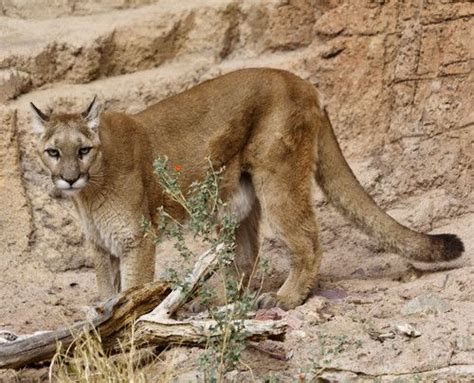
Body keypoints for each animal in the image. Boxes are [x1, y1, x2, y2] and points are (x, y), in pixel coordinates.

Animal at [29, 68, 462, 308]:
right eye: (53, 152)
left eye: (83, 150)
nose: (69, 177)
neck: (89, 193)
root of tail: (304, 84)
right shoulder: (100, 245)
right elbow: (107, 288)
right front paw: (102, 320)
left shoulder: (137, 238)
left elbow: (133, 288)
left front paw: (128, 325)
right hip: (237, 200)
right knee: (246, 254)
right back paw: (220, 301)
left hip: (278, 178)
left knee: (307, 241)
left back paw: (285, 298)